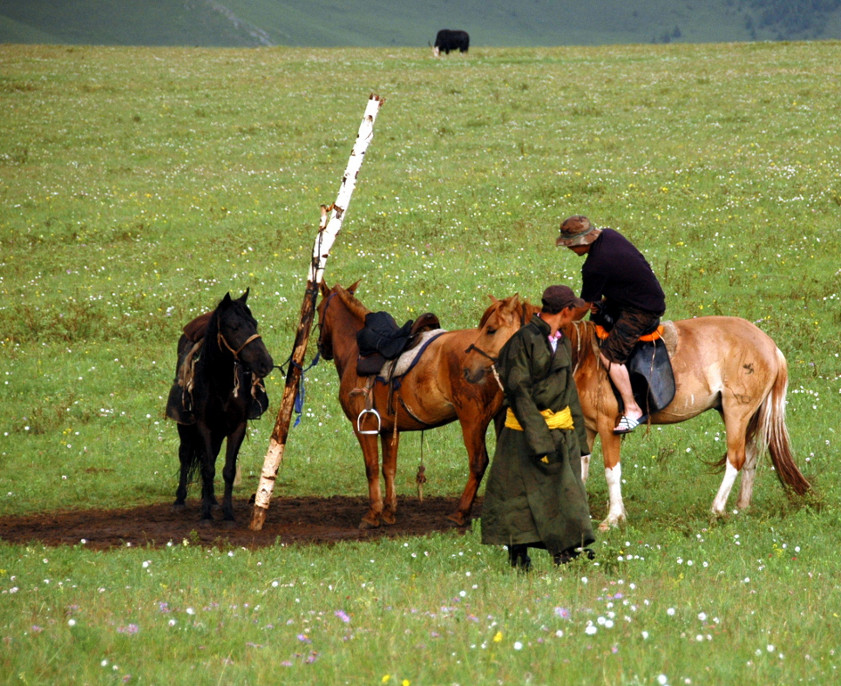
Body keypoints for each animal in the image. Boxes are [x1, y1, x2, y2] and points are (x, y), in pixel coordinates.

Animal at [314, 282, 520, 528]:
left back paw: (460, 513)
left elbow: (372, 468)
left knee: (479, 462)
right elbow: (389, 468)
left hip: (472, 420)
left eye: (318, 309)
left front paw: (373, 514)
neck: (358, 352)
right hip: (500, 417)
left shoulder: (364, 426)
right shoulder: (388, 429)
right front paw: (389, 511)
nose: (321, 347)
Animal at [462, 296, 812, 532]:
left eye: (491, 330)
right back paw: (741, 507)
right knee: (751, 457)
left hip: (737, 412)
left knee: (736, 458)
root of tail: (770, 346)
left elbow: (611, 471)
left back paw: (717, 509)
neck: (582, 357)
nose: (469, 369)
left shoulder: (608, 428)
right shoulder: (588, 428)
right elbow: (580, 469)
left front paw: (613, 518)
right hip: (740, 414)